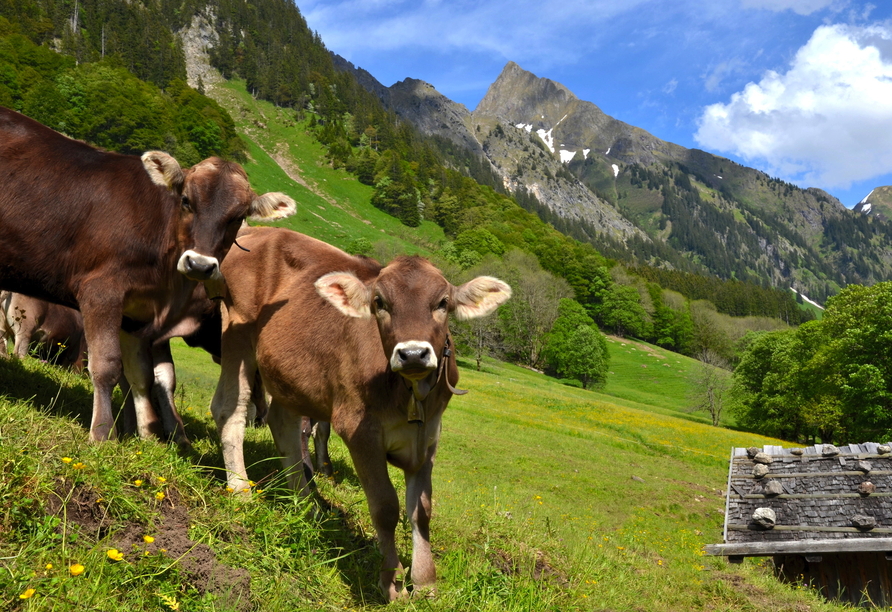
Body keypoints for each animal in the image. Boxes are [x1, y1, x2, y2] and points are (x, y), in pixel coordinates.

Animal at [208, 227, 508, 600]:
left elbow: (421, 511)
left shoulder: (428, 437)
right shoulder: (359, 430)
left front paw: (425, 581)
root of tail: (258, 230)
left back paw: (307, 504)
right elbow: (385, 507)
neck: (410, 393)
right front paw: (392, 582)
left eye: (442, 303)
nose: (412, 353)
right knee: (229, 408)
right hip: (236, 330)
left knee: (283, 424)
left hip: (288, 373)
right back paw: (240, 490)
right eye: (380, 303)